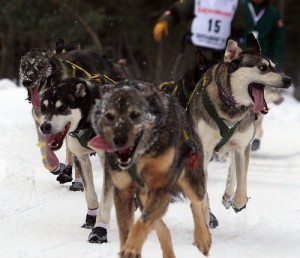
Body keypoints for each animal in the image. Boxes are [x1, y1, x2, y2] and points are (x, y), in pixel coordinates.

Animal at [18, 41, 118, 184]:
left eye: (40, 66)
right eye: (24, 67)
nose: (26, 81)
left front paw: (78, 180)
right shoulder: (40, 124)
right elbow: (45, 152)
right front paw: (55, 166)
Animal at [88, 80, 211, 258]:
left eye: (135, 115)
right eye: (109, 116)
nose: (119, 139)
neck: (140, 156)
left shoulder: (160, 188)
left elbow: (142, 223)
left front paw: (131, 248)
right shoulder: (123, 192)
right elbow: (127, 230)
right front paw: (129, 247)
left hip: (191, 179)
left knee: (197, 202)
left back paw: (203, 238)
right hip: (144, 195)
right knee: (162, 228)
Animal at [188, 33, 292, 220]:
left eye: (273, 66)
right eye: (262, 68)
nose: (288, 80)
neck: (231, 106)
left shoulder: (243, 145)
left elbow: (241, 177)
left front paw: (238, 201)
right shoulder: (204, 150)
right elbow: (203, 189)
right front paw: (207, 213)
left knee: (233, 169)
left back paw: (229, 195)